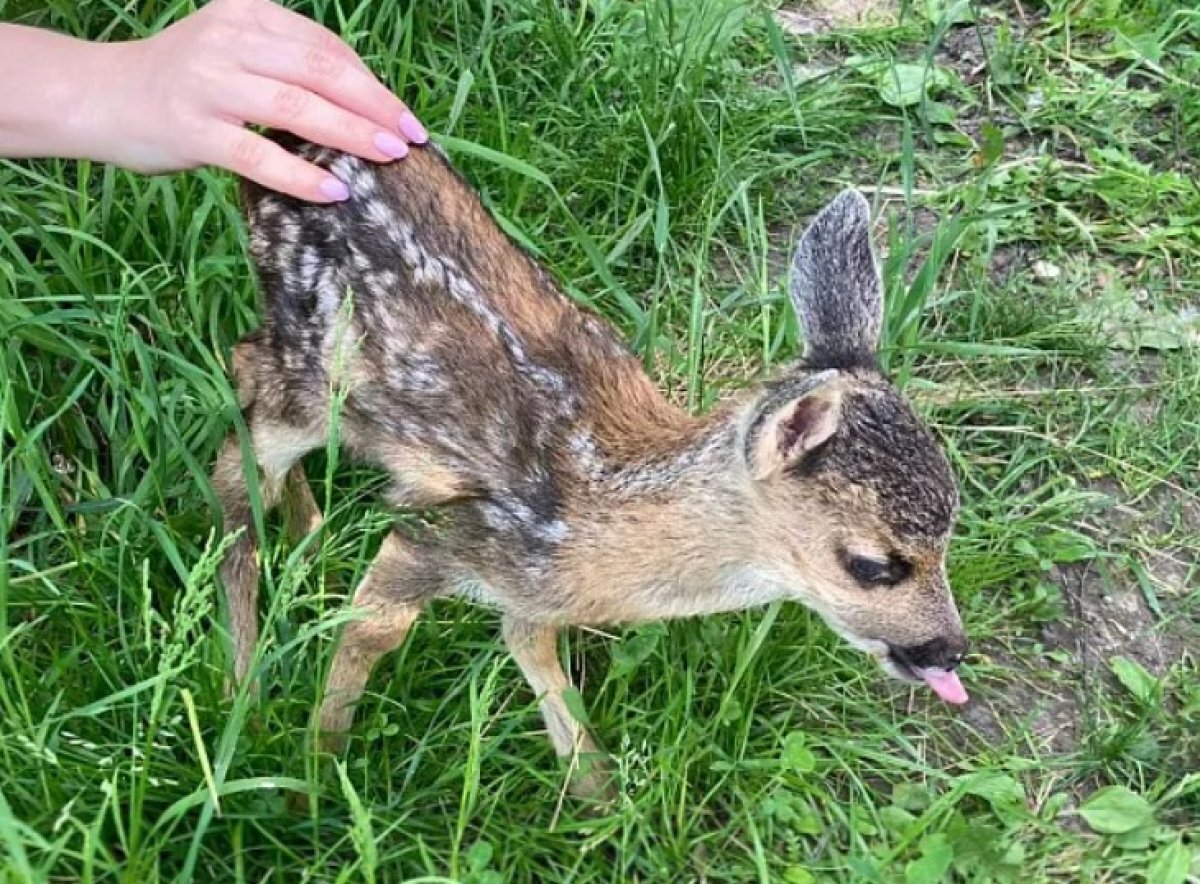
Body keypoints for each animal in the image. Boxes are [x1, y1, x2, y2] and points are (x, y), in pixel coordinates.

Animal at [211, 134, 969, 796]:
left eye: (951, 536)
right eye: (872, 564)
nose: (951, 650)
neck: (593, 513)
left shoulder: (534, 589)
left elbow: (529, 645)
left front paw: (594, 794)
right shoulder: (443, 527)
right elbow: (373, 628)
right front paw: (316, 769)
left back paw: (306, 535)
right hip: (315, 374)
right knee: (236, 436)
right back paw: (244, 677)